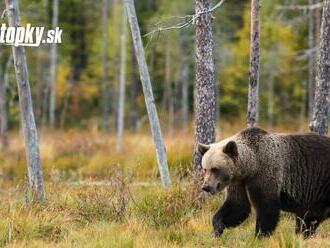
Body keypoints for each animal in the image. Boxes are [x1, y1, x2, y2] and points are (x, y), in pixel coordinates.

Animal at [199, 127, 330, 237]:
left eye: (215, 169)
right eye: (205, 169)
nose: (206, 186)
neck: (251, 166)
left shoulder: (265, 174)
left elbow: (266, 208)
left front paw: (260, 235)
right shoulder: (239, 183)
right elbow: (237, 206)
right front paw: (218, 229)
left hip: (321, 184)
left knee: (311, 216)